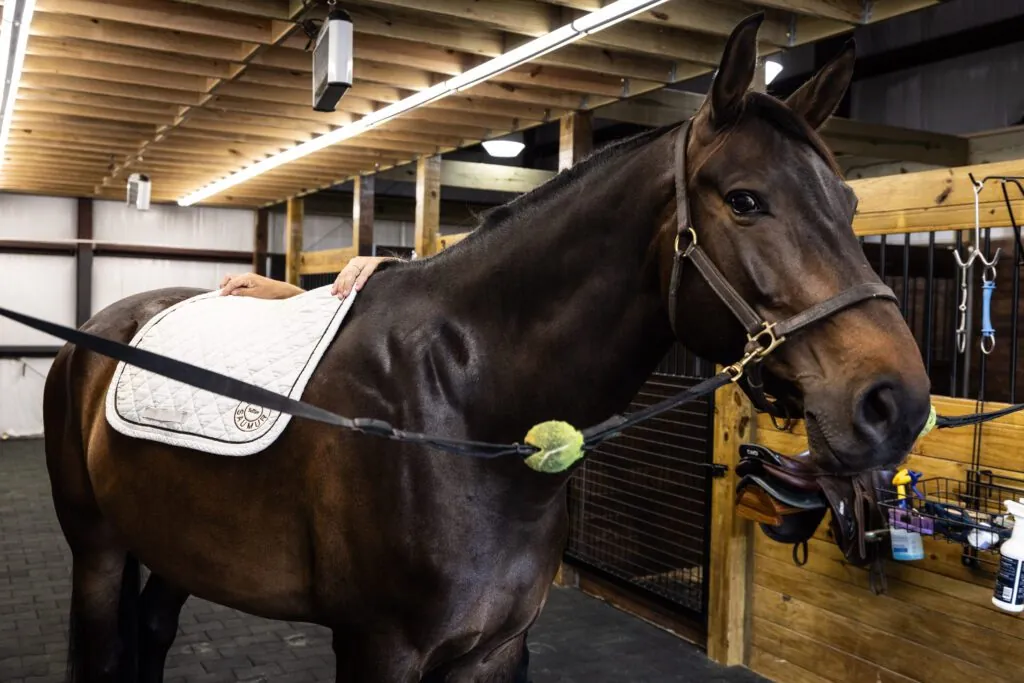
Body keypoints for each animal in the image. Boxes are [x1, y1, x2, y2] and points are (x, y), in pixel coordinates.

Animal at [42, 13, 931, 683]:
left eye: (849, 201)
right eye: (746, 201)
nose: (896, 402)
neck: (465, 408)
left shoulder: (496, 649)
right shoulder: (379, 650)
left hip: (175, 548)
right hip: (96, 550)